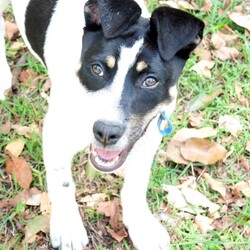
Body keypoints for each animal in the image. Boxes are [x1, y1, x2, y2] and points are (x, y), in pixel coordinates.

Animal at [0, 0, 204, 249]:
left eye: (150, 81)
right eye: (97, 69)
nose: (106, 132)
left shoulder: (148, 135)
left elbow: (137, 182)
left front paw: (141, 225)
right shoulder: (56, 133)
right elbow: (62, 182)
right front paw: (68, 226)